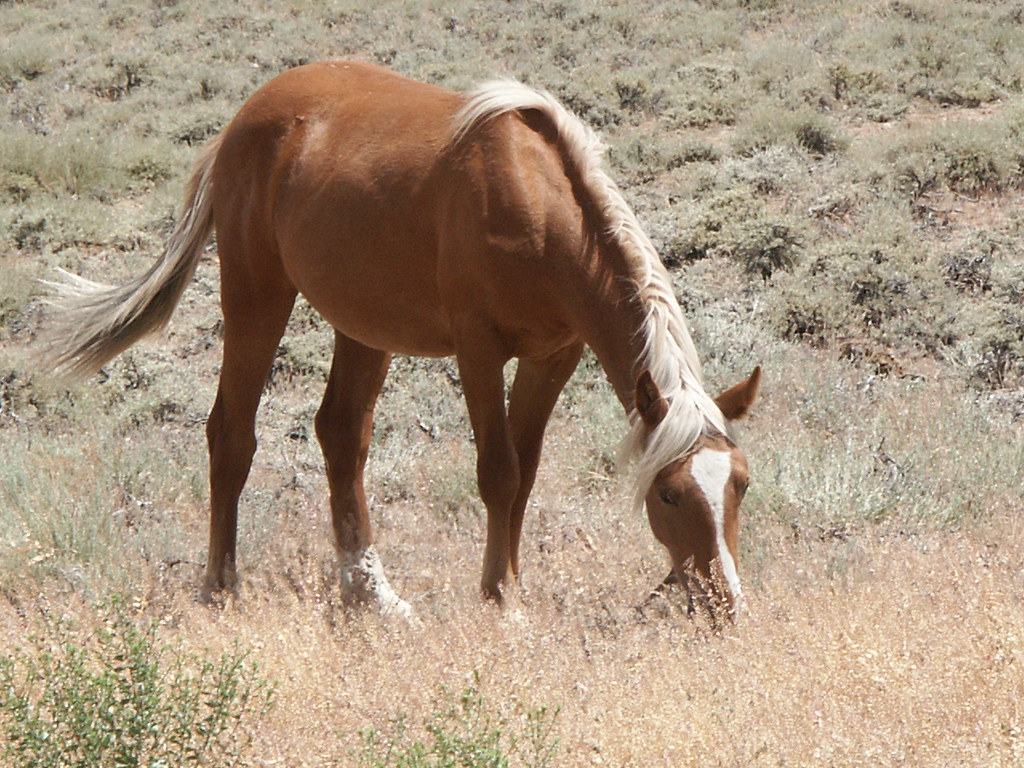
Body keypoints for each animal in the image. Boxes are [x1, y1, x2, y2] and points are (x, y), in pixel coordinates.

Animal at [40, 61, 760, 619]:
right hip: (255, 294)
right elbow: (498, 472)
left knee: (340, 435)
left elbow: (525, 474)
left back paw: (372, 594)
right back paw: (221, 587)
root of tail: (242, 122)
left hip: (363, 325)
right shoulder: (478, 349)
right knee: (232, 433)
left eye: (741, 485)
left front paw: (506, 583)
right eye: (668, 493)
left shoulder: (553, 355)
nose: (725, 603)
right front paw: (502, 599)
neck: (539, 203)